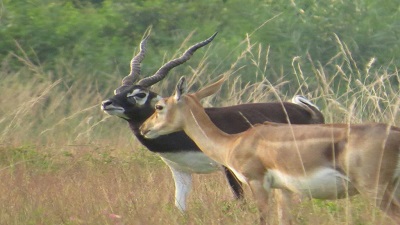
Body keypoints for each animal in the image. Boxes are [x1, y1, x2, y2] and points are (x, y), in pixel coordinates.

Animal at [140, 76, 400, 224]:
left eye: (159, 106)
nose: (144, 128)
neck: (234, 142)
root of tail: (394, 133)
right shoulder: (283, 190)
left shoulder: (257, 183)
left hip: (376, 190)